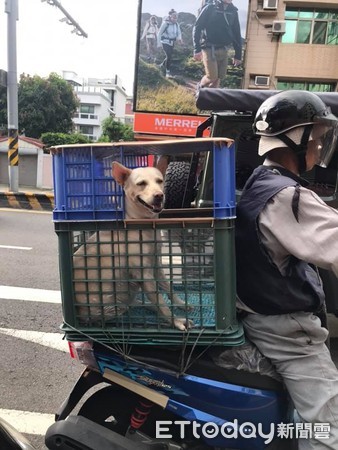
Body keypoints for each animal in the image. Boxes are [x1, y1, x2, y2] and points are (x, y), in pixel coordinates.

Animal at [72, 162, 191, 330]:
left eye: (160, 181)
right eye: (141, 183)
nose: (159, 195)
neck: (142, 224)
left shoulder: (156, 265)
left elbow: (169, 289)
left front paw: (180, 303)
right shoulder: (144, 275)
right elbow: (162, 304)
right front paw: (176, 321)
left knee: (143, 304)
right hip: (109, 307)